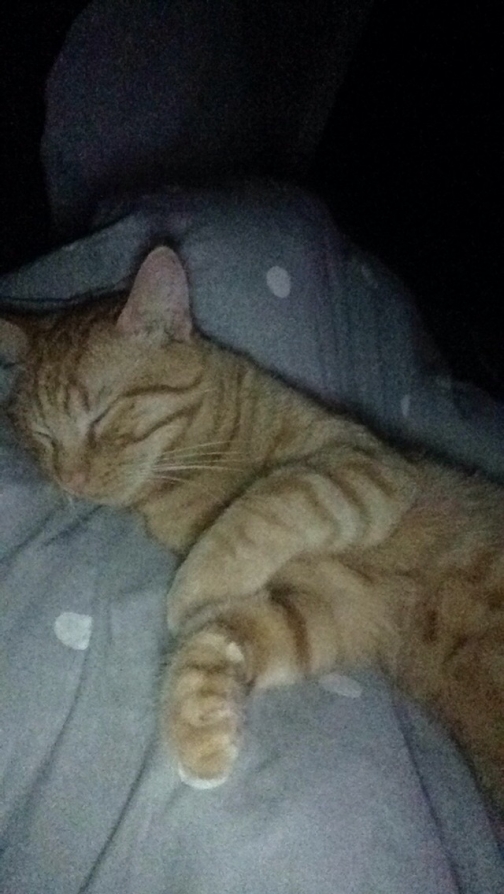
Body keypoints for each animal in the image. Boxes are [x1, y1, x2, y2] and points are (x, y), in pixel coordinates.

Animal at [1, 246, 503, 805]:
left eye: (101, 414)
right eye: (42, 436)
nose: (71, 479)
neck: (199, 472)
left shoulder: (367, 464)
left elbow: (271, 503)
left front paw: (197, 583)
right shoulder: (331, 604)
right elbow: (218, 634)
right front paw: (199, 728)